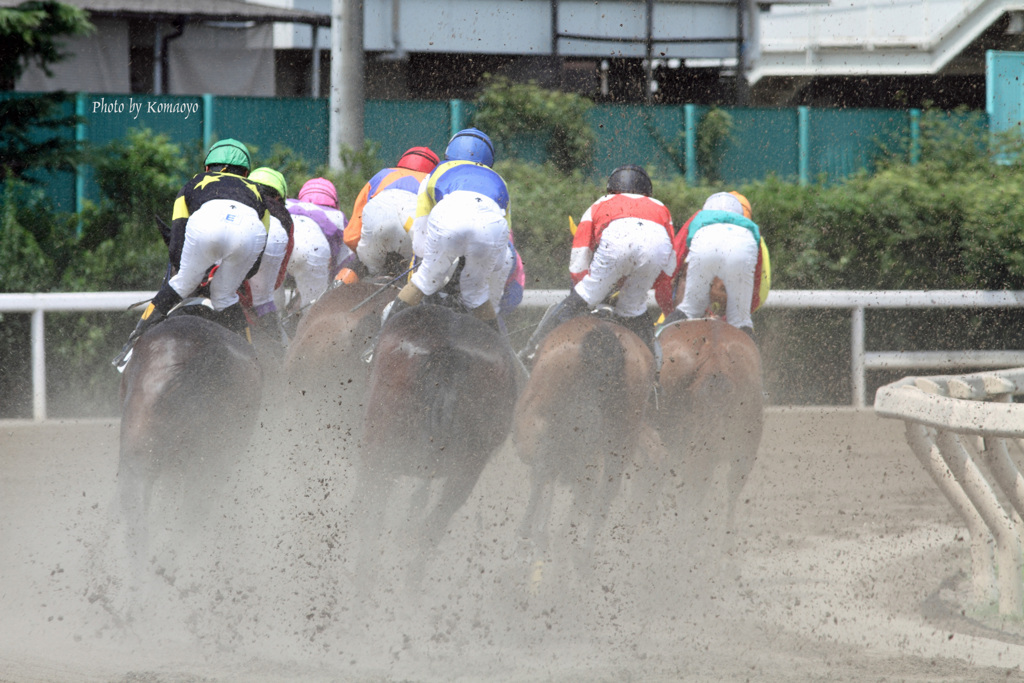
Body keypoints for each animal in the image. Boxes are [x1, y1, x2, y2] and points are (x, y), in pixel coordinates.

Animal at [512, 315, 655, 573]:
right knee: (604, 491)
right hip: (620, 442)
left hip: (536, 421)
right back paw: (581, 555)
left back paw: (525, 542)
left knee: (544, 471)